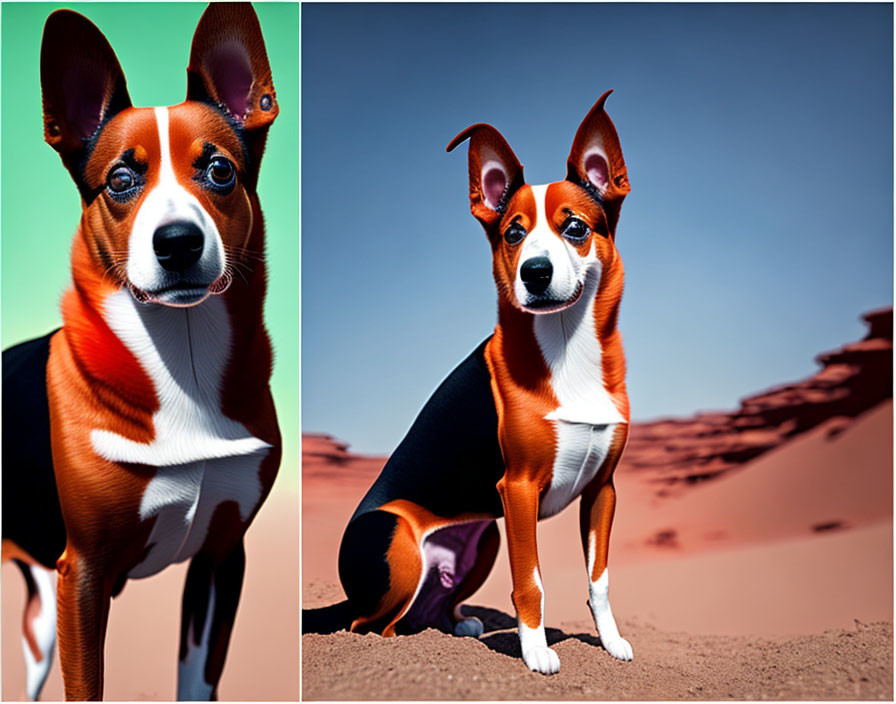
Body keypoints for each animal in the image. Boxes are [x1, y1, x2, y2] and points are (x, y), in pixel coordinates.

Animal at [1, 4, 282, 700]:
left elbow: (197, 679)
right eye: (121, 180)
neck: (182, 361)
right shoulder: (83, 575)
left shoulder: (220, 556)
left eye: (219, 170)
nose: (177, 241)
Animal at [334, 91, 632, 672]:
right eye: (513, 232)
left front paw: (610, 644)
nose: (535, 272)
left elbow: (600, 580)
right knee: (367, 626)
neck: (568, 351)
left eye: (576, 228)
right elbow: (531, 582)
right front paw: (536, 654)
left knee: (426, 609)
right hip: (400, 541)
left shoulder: (602, 490)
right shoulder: (518, 490)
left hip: (485, 536)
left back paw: (457, 624)